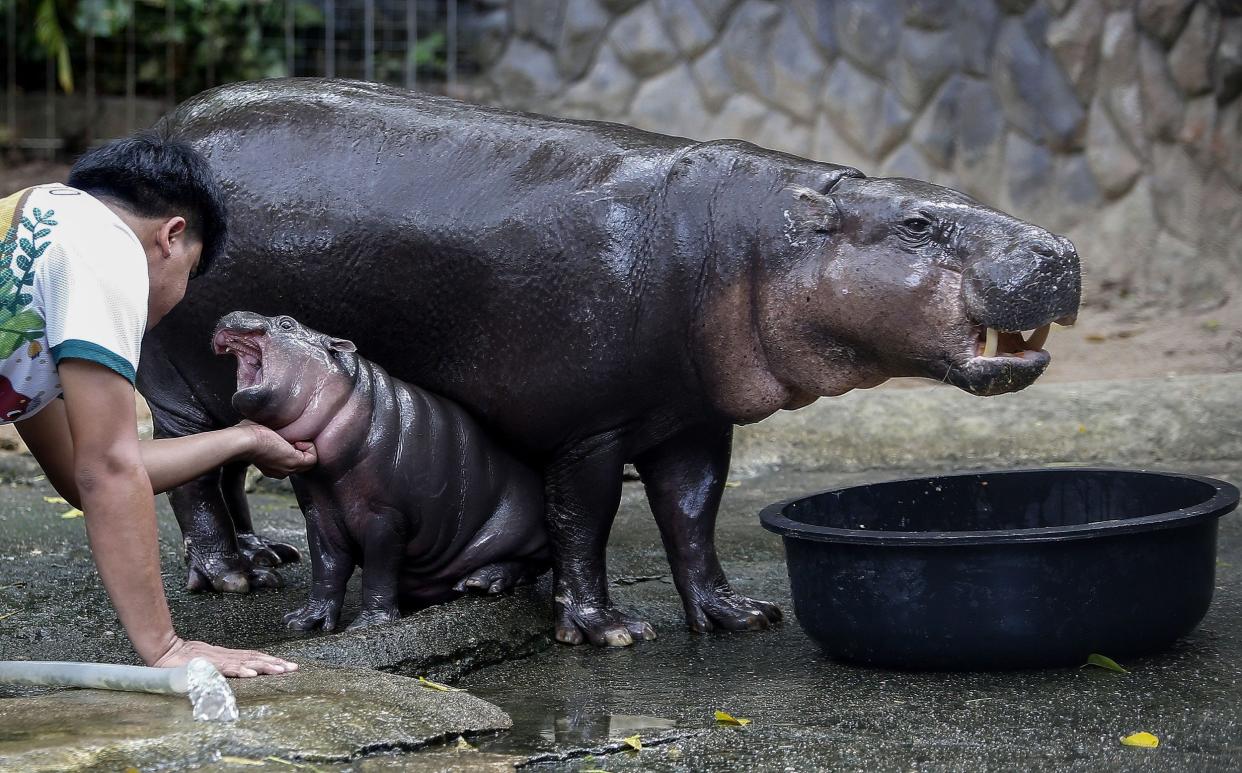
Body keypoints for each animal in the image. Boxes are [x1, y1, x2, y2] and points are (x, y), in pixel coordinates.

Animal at [212, 311, 548, 633]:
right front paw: (304, 620)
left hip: (517, 529)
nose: (231, 313)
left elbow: (378, 569)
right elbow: (326, 567)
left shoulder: (385, 516)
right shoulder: (318, 513)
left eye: (286, 323)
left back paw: (481, 581)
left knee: (530, 564)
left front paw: (370, 624)